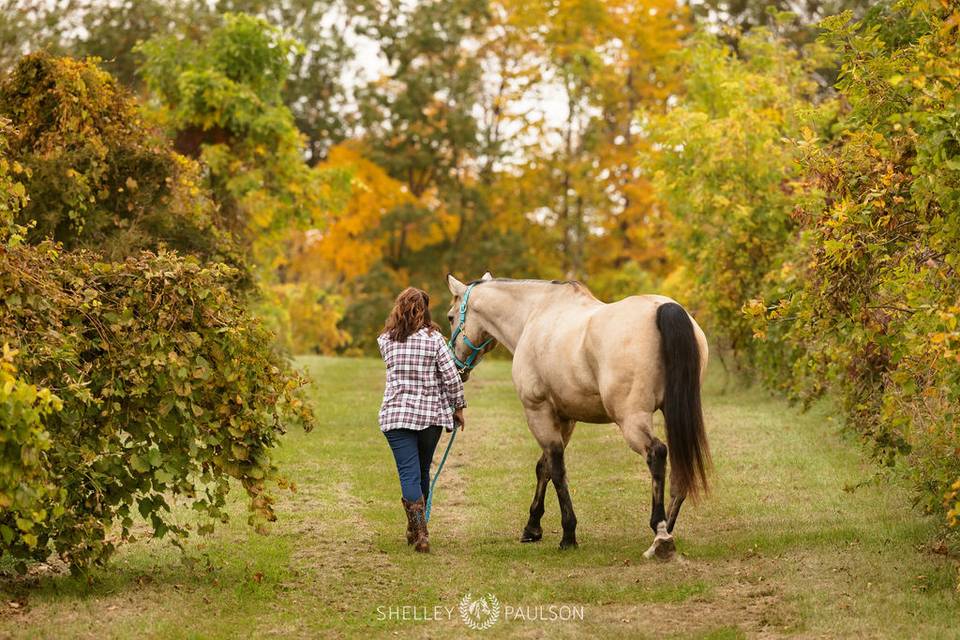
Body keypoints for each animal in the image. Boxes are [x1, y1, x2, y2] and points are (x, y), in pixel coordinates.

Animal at [446, 272, 708, 556]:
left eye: (450, 317)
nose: (457, 366)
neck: (534, 314)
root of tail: (664, 308)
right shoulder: (565, 417)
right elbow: (544, 467)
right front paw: (532, 528)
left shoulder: (538, 411)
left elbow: (557, 470)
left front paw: (568, 534)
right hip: (674, 416)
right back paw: (668, 529)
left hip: (631, 419)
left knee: (657, 453)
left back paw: (660, 535)